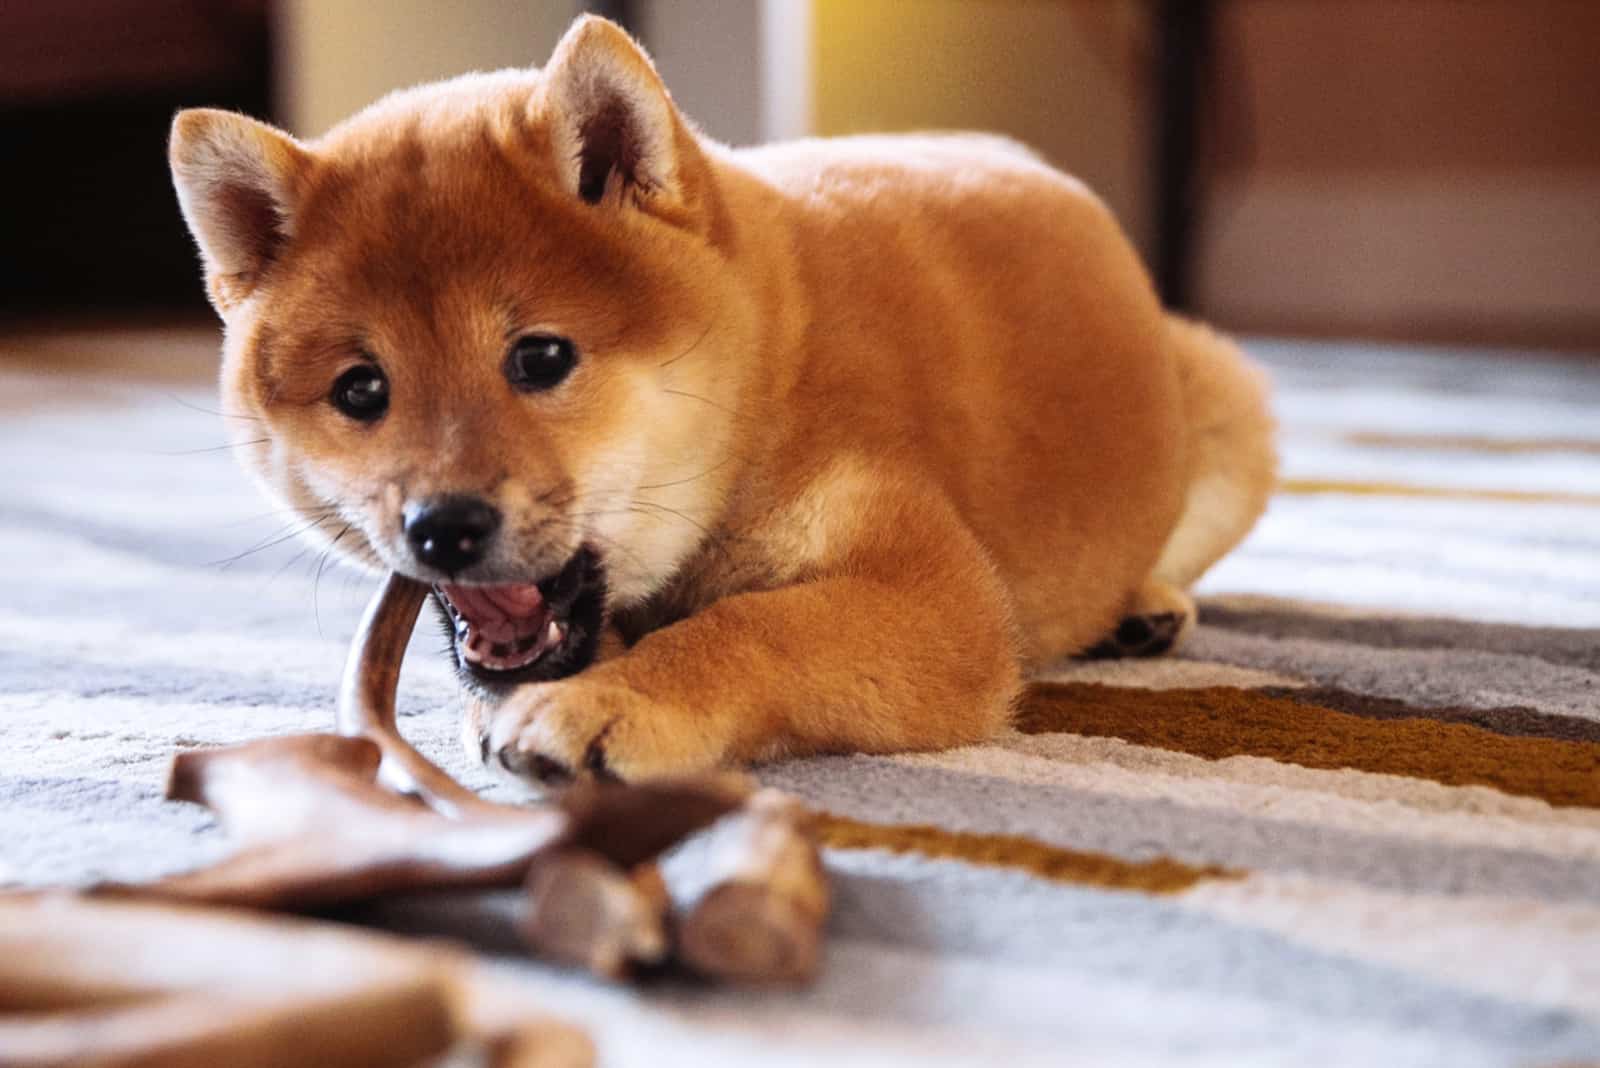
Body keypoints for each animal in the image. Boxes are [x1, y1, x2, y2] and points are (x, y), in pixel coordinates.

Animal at [172, 14, 1273, 783]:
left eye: (539, 358)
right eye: (361, 389)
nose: (442, 527)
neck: (767, 381)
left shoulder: (935, 598)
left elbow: (754, 626)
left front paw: (615, 700)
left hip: (1231, 405)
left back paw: (1147, 605)